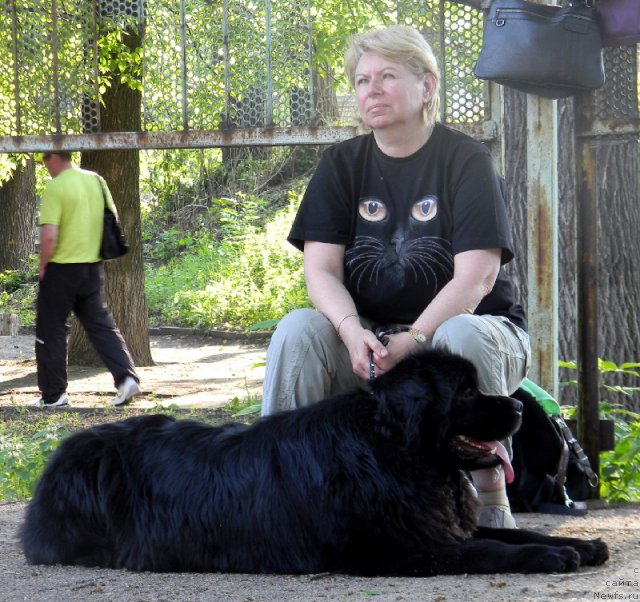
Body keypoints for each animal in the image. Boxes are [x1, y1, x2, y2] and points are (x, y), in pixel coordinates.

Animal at [20, 350, 608, 576]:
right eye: (465, 392)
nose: (517, 407)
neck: (391, 452)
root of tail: (62, 453)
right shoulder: (395, 546)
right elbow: (486, 549)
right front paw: (549, 556)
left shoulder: (438, 522)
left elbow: (504, 532)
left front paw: (582, 545)